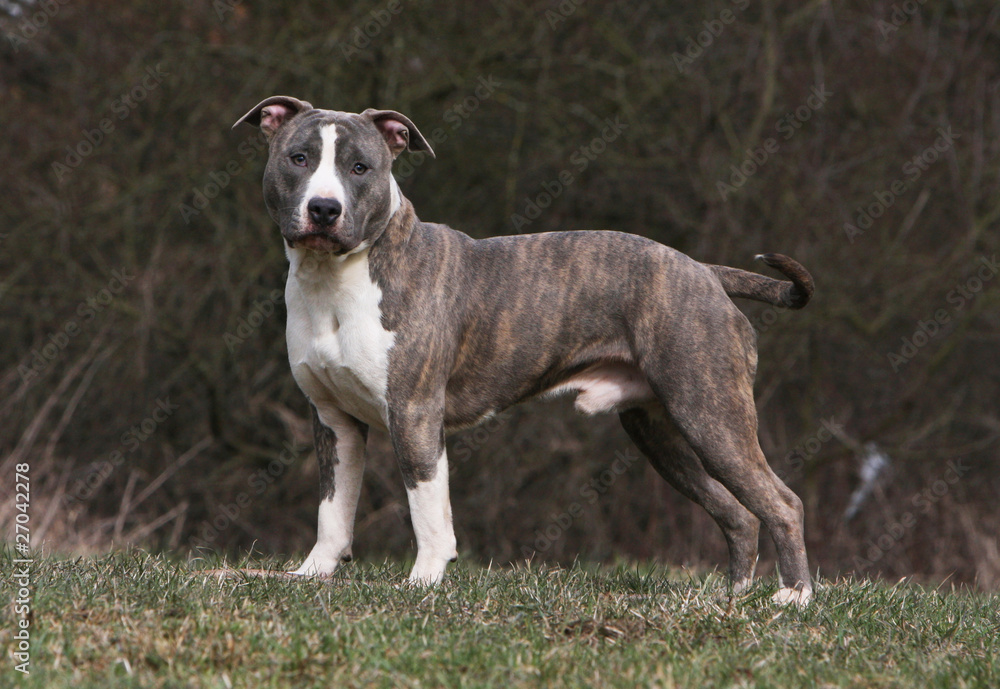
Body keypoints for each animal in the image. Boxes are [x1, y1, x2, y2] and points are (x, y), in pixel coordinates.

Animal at [232, 95, 812, 600]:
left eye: (360, 168)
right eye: (299, 158)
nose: (324, 209)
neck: (337, 281)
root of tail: (705, 272)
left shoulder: (414, 413)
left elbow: (428, 507)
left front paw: (423, 582)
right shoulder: (335, 420)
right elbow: (333, 509)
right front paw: (311, 575)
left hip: (709, 412)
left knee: (782, 501)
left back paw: (794, 597)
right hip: (660, 431)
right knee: (737, 512)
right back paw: (735, 596)